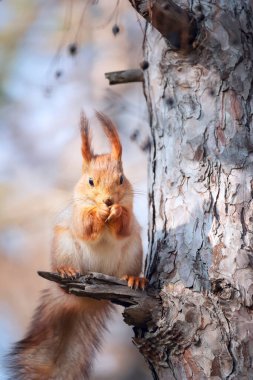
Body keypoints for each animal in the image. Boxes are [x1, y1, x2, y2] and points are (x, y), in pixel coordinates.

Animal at [7, 112, 147, 380]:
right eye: (90, 181)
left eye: (121, 179)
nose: (108, 200)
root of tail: (88, 297)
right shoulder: (76, 214)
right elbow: (85, 226)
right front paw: (100, 212)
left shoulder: (130, 216)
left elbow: (124, 225)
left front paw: (116, 211)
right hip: (65, 247)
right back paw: (67, 271)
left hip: (134, 251)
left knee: (127, 269)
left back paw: (135, 278)